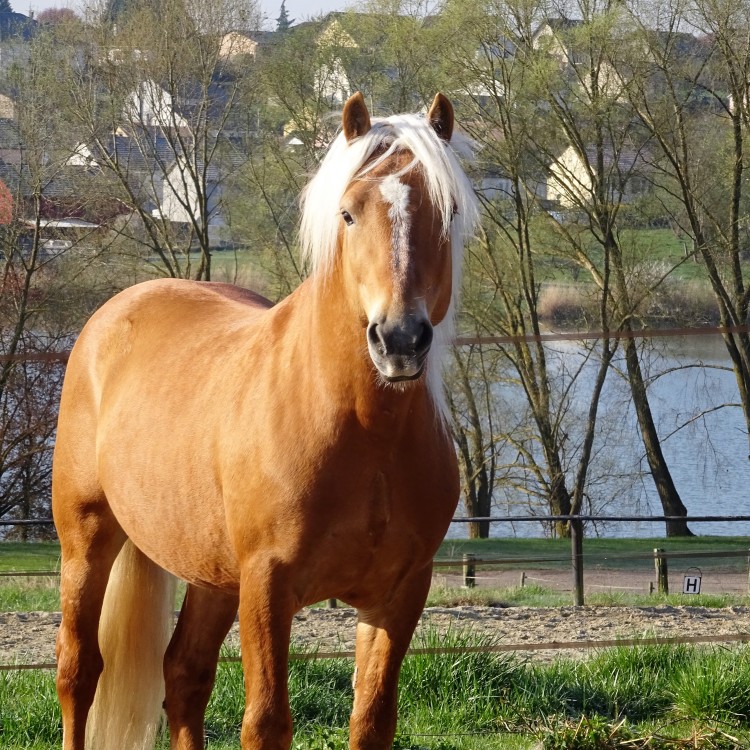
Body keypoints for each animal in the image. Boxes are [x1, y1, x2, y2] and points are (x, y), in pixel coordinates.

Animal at [53, 92, 478, 750]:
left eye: (448, 211)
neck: (366, 433)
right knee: (80, 670)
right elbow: (266, 722)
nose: (400, 340)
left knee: (185, 673)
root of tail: (117, 310)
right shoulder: (267, 587)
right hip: (87, 540)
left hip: (209, 570)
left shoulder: (398, 593)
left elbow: (372, 719)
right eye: (349, 214)